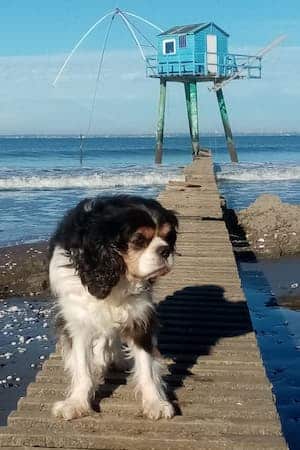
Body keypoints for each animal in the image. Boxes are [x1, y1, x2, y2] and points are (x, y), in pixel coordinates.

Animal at [48, 196, 177, 422]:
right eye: (139, 240)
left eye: (168, 237)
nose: (165, 250)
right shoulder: (78, 322)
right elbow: (82, 367)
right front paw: (77, 403)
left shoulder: (140, 319)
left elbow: (147, 367)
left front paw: (155, 402)